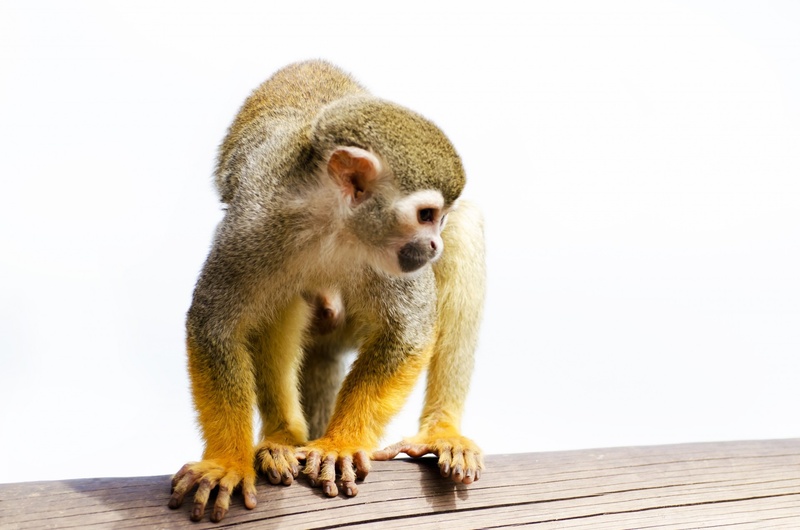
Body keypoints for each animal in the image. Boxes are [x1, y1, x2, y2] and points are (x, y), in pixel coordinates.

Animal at [168, 60, 486, 523]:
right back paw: (283, 437)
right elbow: (215, 324)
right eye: (426, 215)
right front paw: (227, 461)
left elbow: (408, 332)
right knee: (284, 299)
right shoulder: (253, 223)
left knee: (466, 230)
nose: (433, 245)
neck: (334, 222)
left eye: (438, 219)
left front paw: (340, 444)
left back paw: (441, 431)